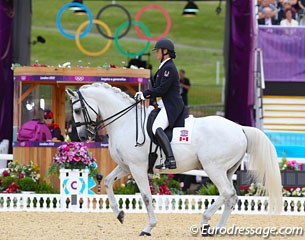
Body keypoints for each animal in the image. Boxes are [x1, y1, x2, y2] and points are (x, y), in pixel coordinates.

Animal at [66, 82, 280, 236]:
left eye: (77, 110)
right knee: (231, 197)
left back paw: (205, 221)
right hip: (227, 170)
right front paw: (119, 214)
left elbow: (146, 196)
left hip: (214, 168)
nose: (83, 137)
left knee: (227, 192)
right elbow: (108, 182)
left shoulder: (137, 167)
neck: (125, 122)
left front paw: (148, 228)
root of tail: (240, 128)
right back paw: (216, 229)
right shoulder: (126, 166)